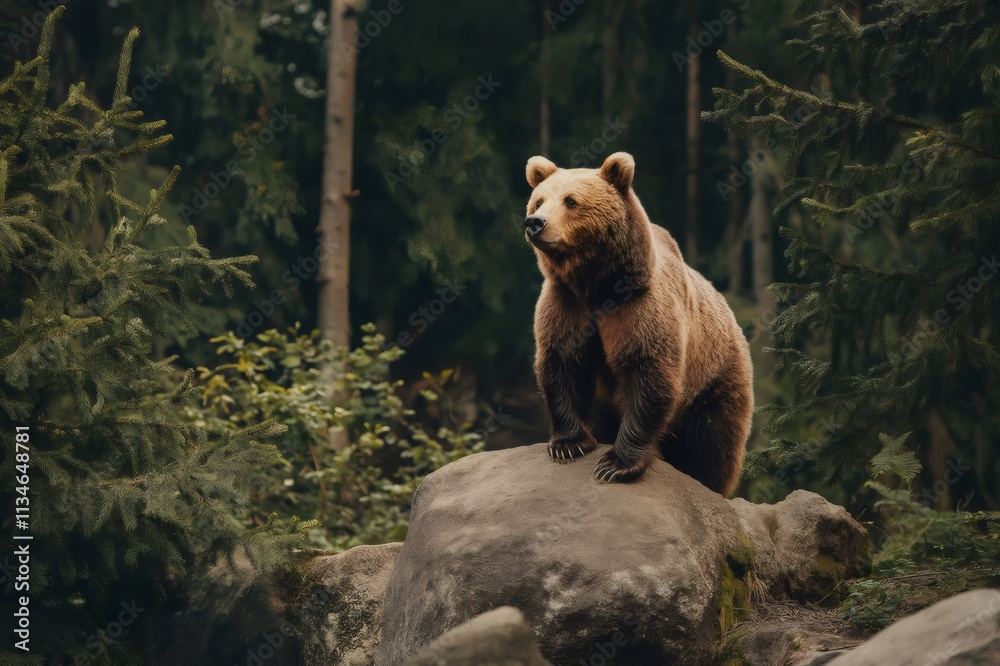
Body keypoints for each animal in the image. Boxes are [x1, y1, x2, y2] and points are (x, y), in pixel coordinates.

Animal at [523, 151, 753, 496]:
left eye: (571, 201)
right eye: (538, 200)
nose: (536, 223)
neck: (596, 283)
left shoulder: (639, 307)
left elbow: (647, 372)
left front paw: (615, 464)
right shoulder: (565, 304)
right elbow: (561, 362)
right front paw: (568, 444)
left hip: (715, 378)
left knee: (711, 445)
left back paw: (709, 484)